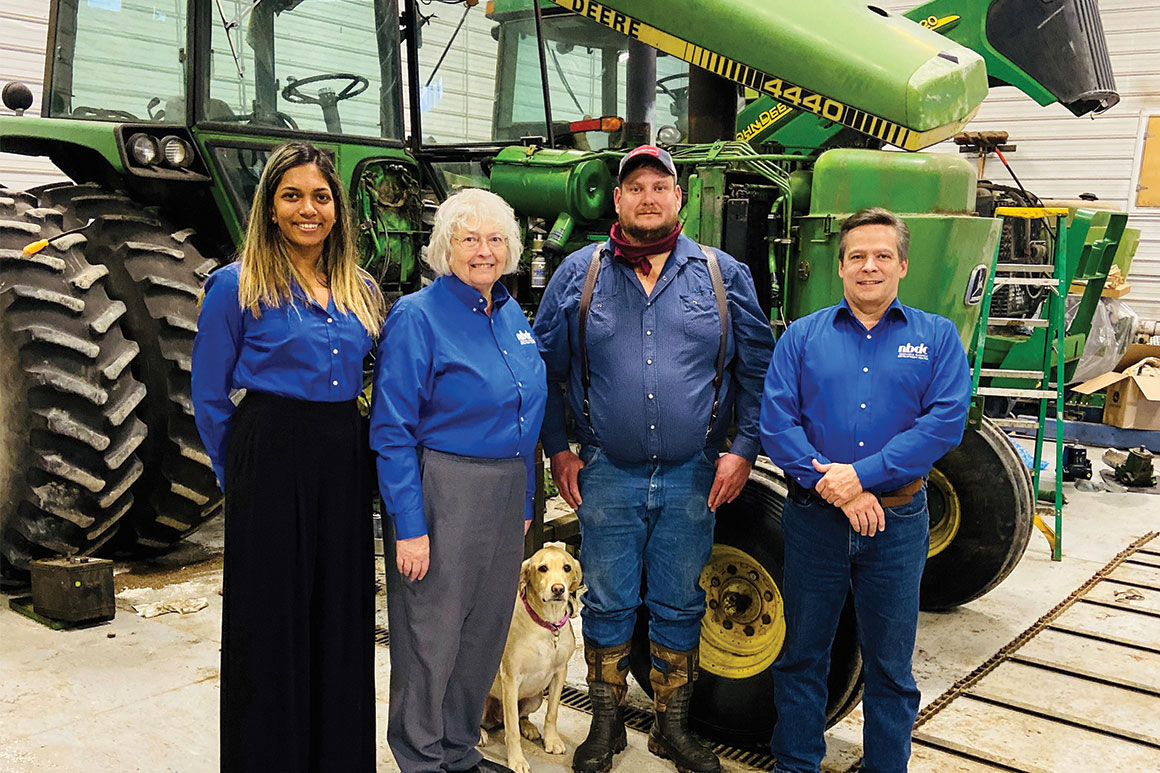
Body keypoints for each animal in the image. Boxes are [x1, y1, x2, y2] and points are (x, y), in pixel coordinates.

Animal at [482, 540, 584, 770]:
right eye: (542, 568)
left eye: (567, 567)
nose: (558, 589)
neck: (547, 625)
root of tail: (495, 720)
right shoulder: (511, 678)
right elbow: (512, 730)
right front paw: (517, 760)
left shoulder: (560, 673)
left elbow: (552, 713)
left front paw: (552, 740)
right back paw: (480, 734)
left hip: (535, 697)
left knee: (521, 717)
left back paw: (528, 727)